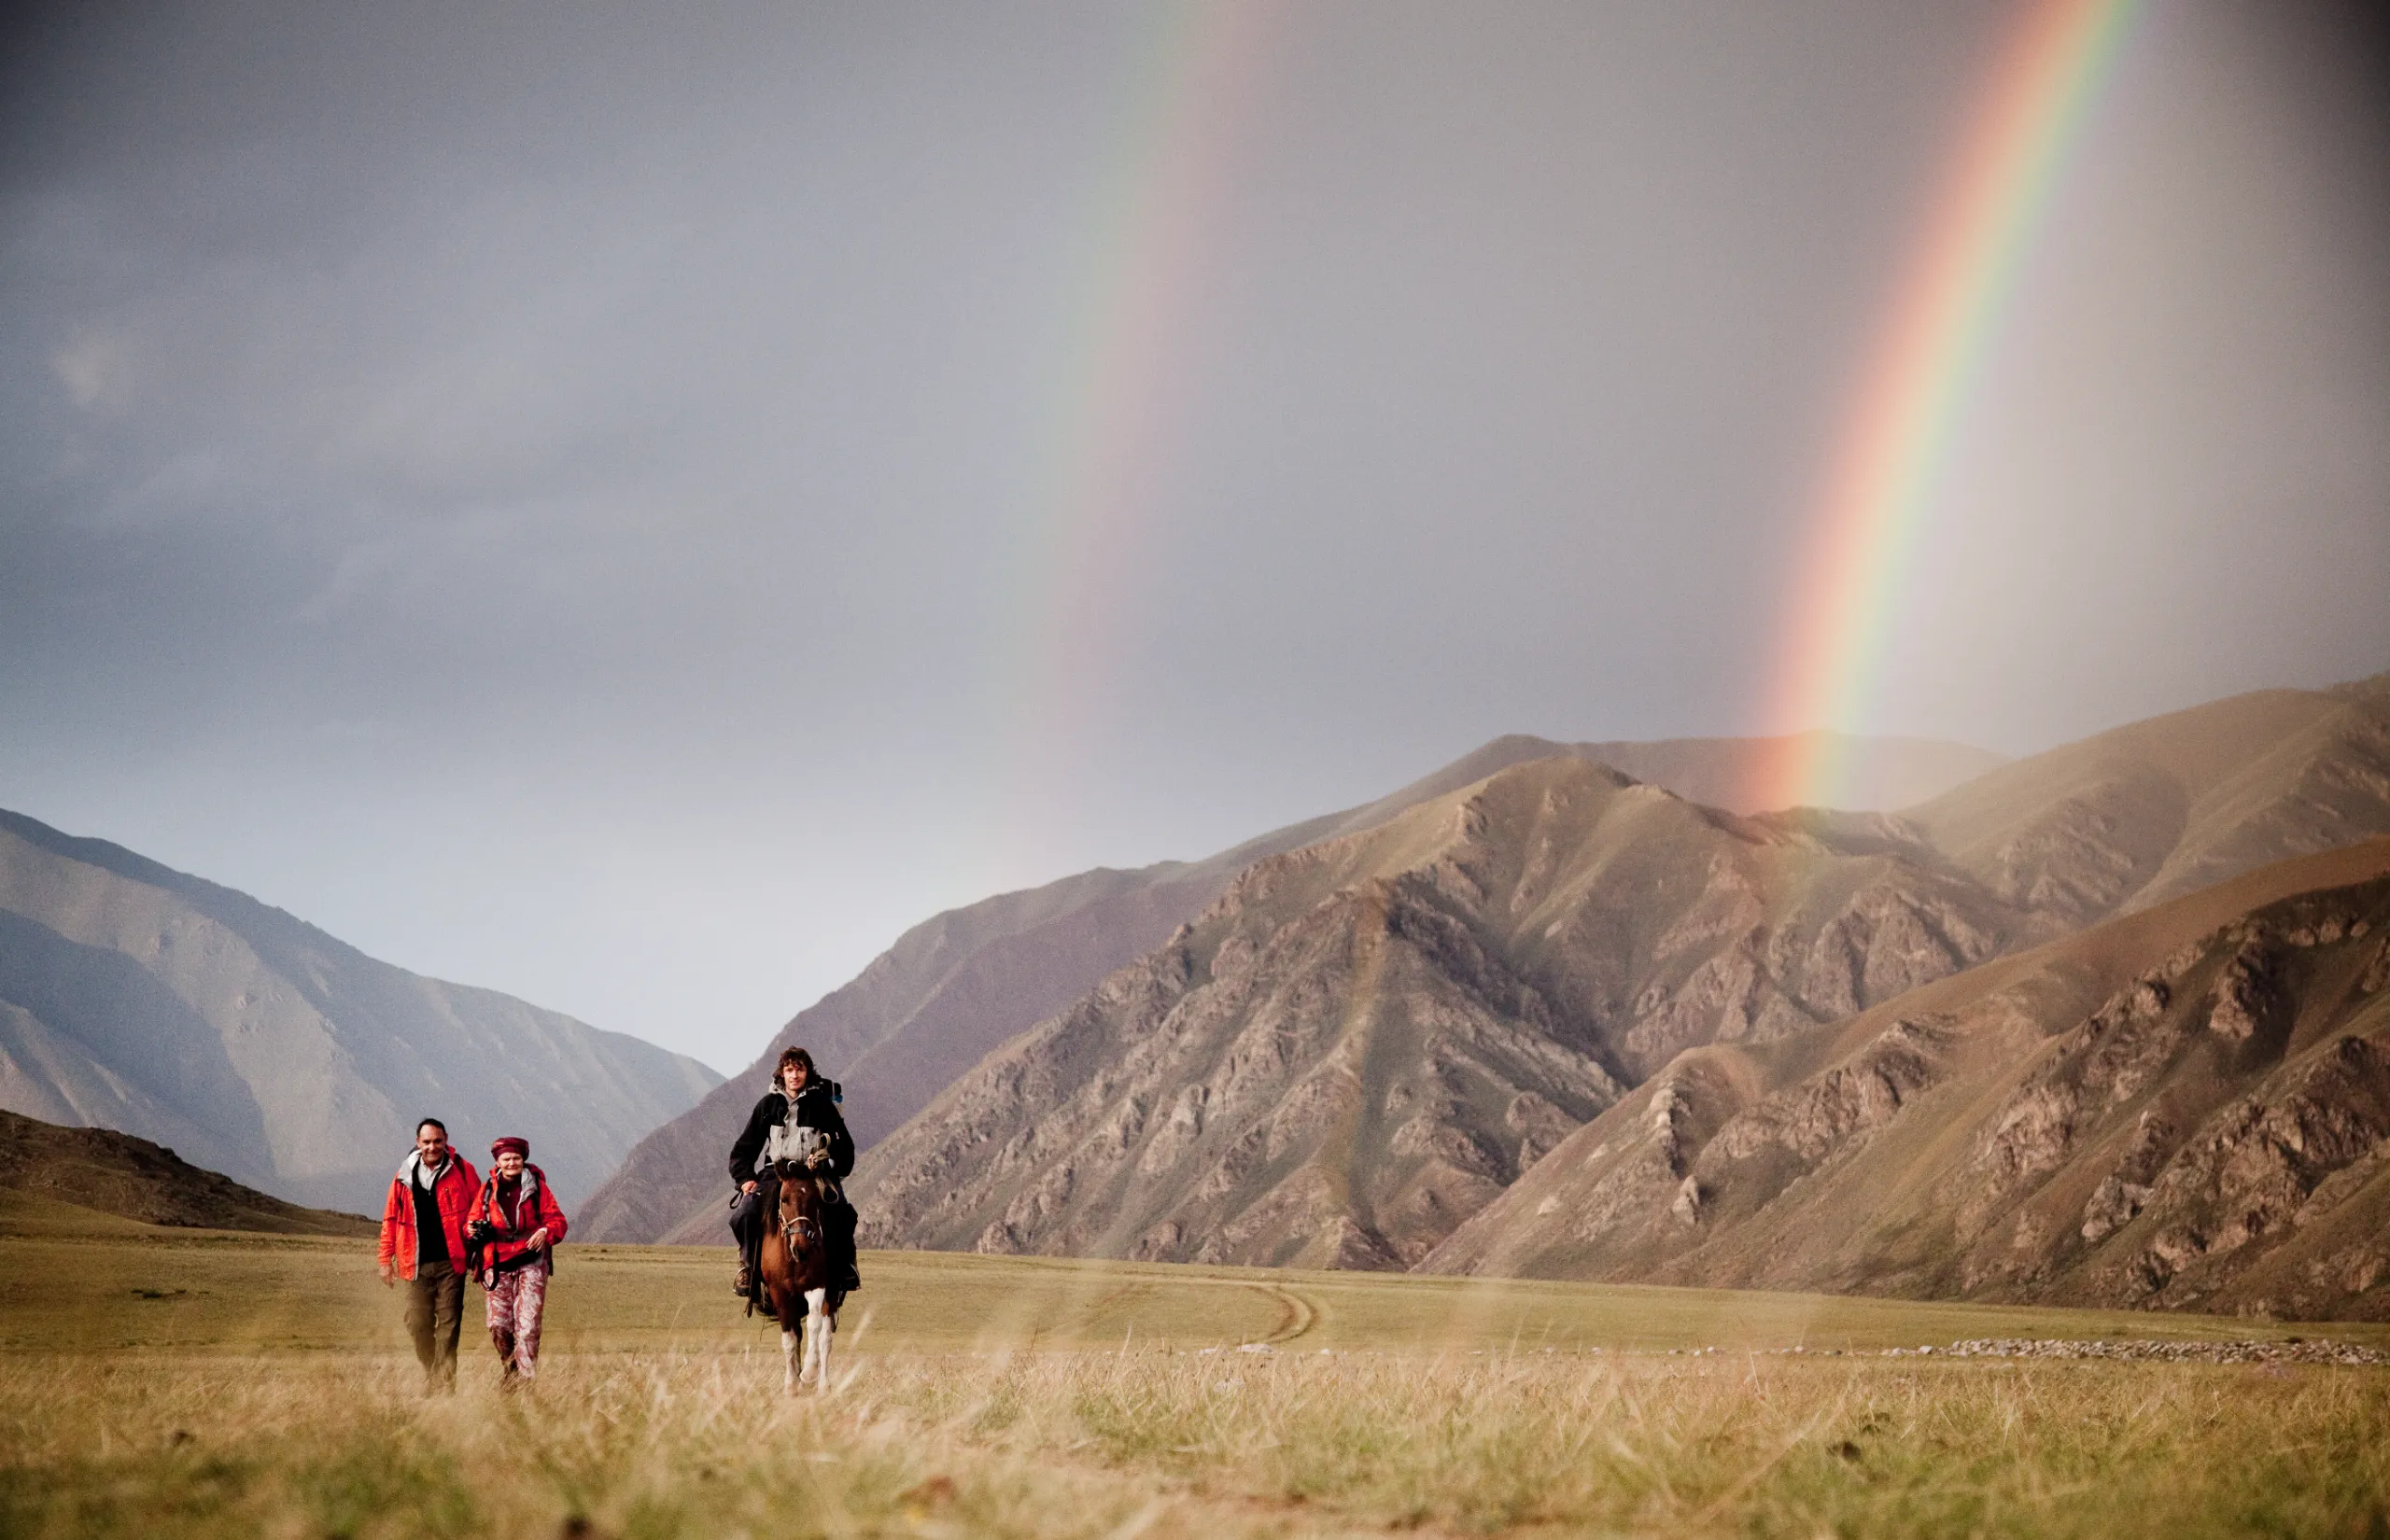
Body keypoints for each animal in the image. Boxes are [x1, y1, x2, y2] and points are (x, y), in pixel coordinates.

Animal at [765, 1155, 851, 1393]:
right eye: (784, 1199)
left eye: (815, 1199)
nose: (801, 1248)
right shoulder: (779, 1292)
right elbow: (789, 1339)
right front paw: (791, 1384)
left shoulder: (817, 1285)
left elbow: (815, 1324)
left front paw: (809, 1372)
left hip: (831, 1293)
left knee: (825, 1337)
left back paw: (822, 1384)